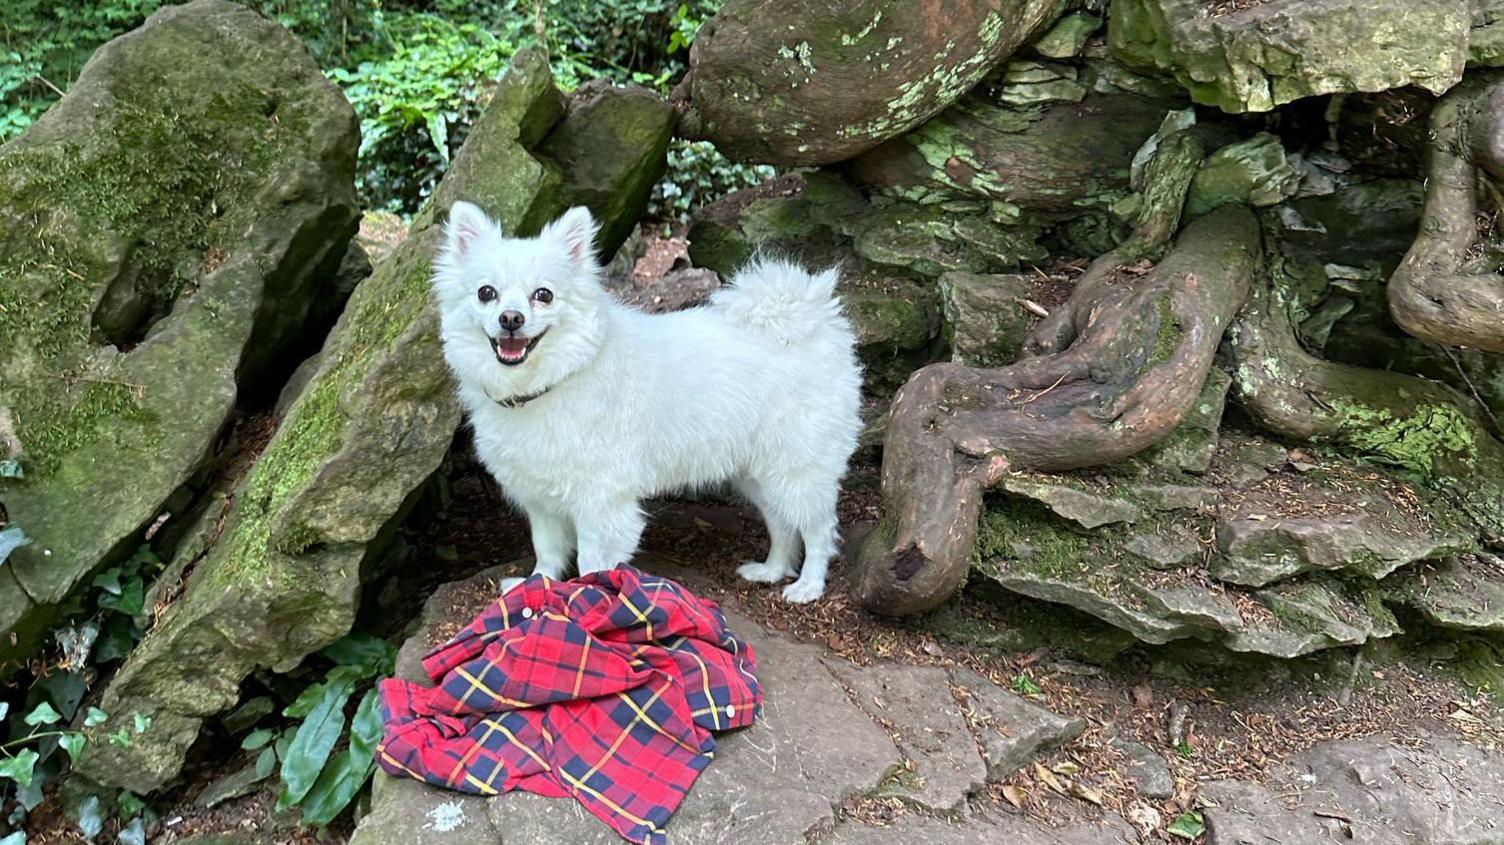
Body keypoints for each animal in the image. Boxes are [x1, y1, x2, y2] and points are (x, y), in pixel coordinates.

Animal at [430, 201, 866, 601]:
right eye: (487, 293)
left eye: (544, 295)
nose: (511, 318)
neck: (551, 380)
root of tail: (810, 321)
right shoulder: (542, 499)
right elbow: (548, 551)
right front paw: (537, 586)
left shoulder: (602, 502)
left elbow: (591, 561)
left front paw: (586, 600)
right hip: (758, 472)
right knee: (781, 522)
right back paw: (772, 569)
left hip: (797, 468)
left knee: (819, 529)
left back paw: (808, 585)